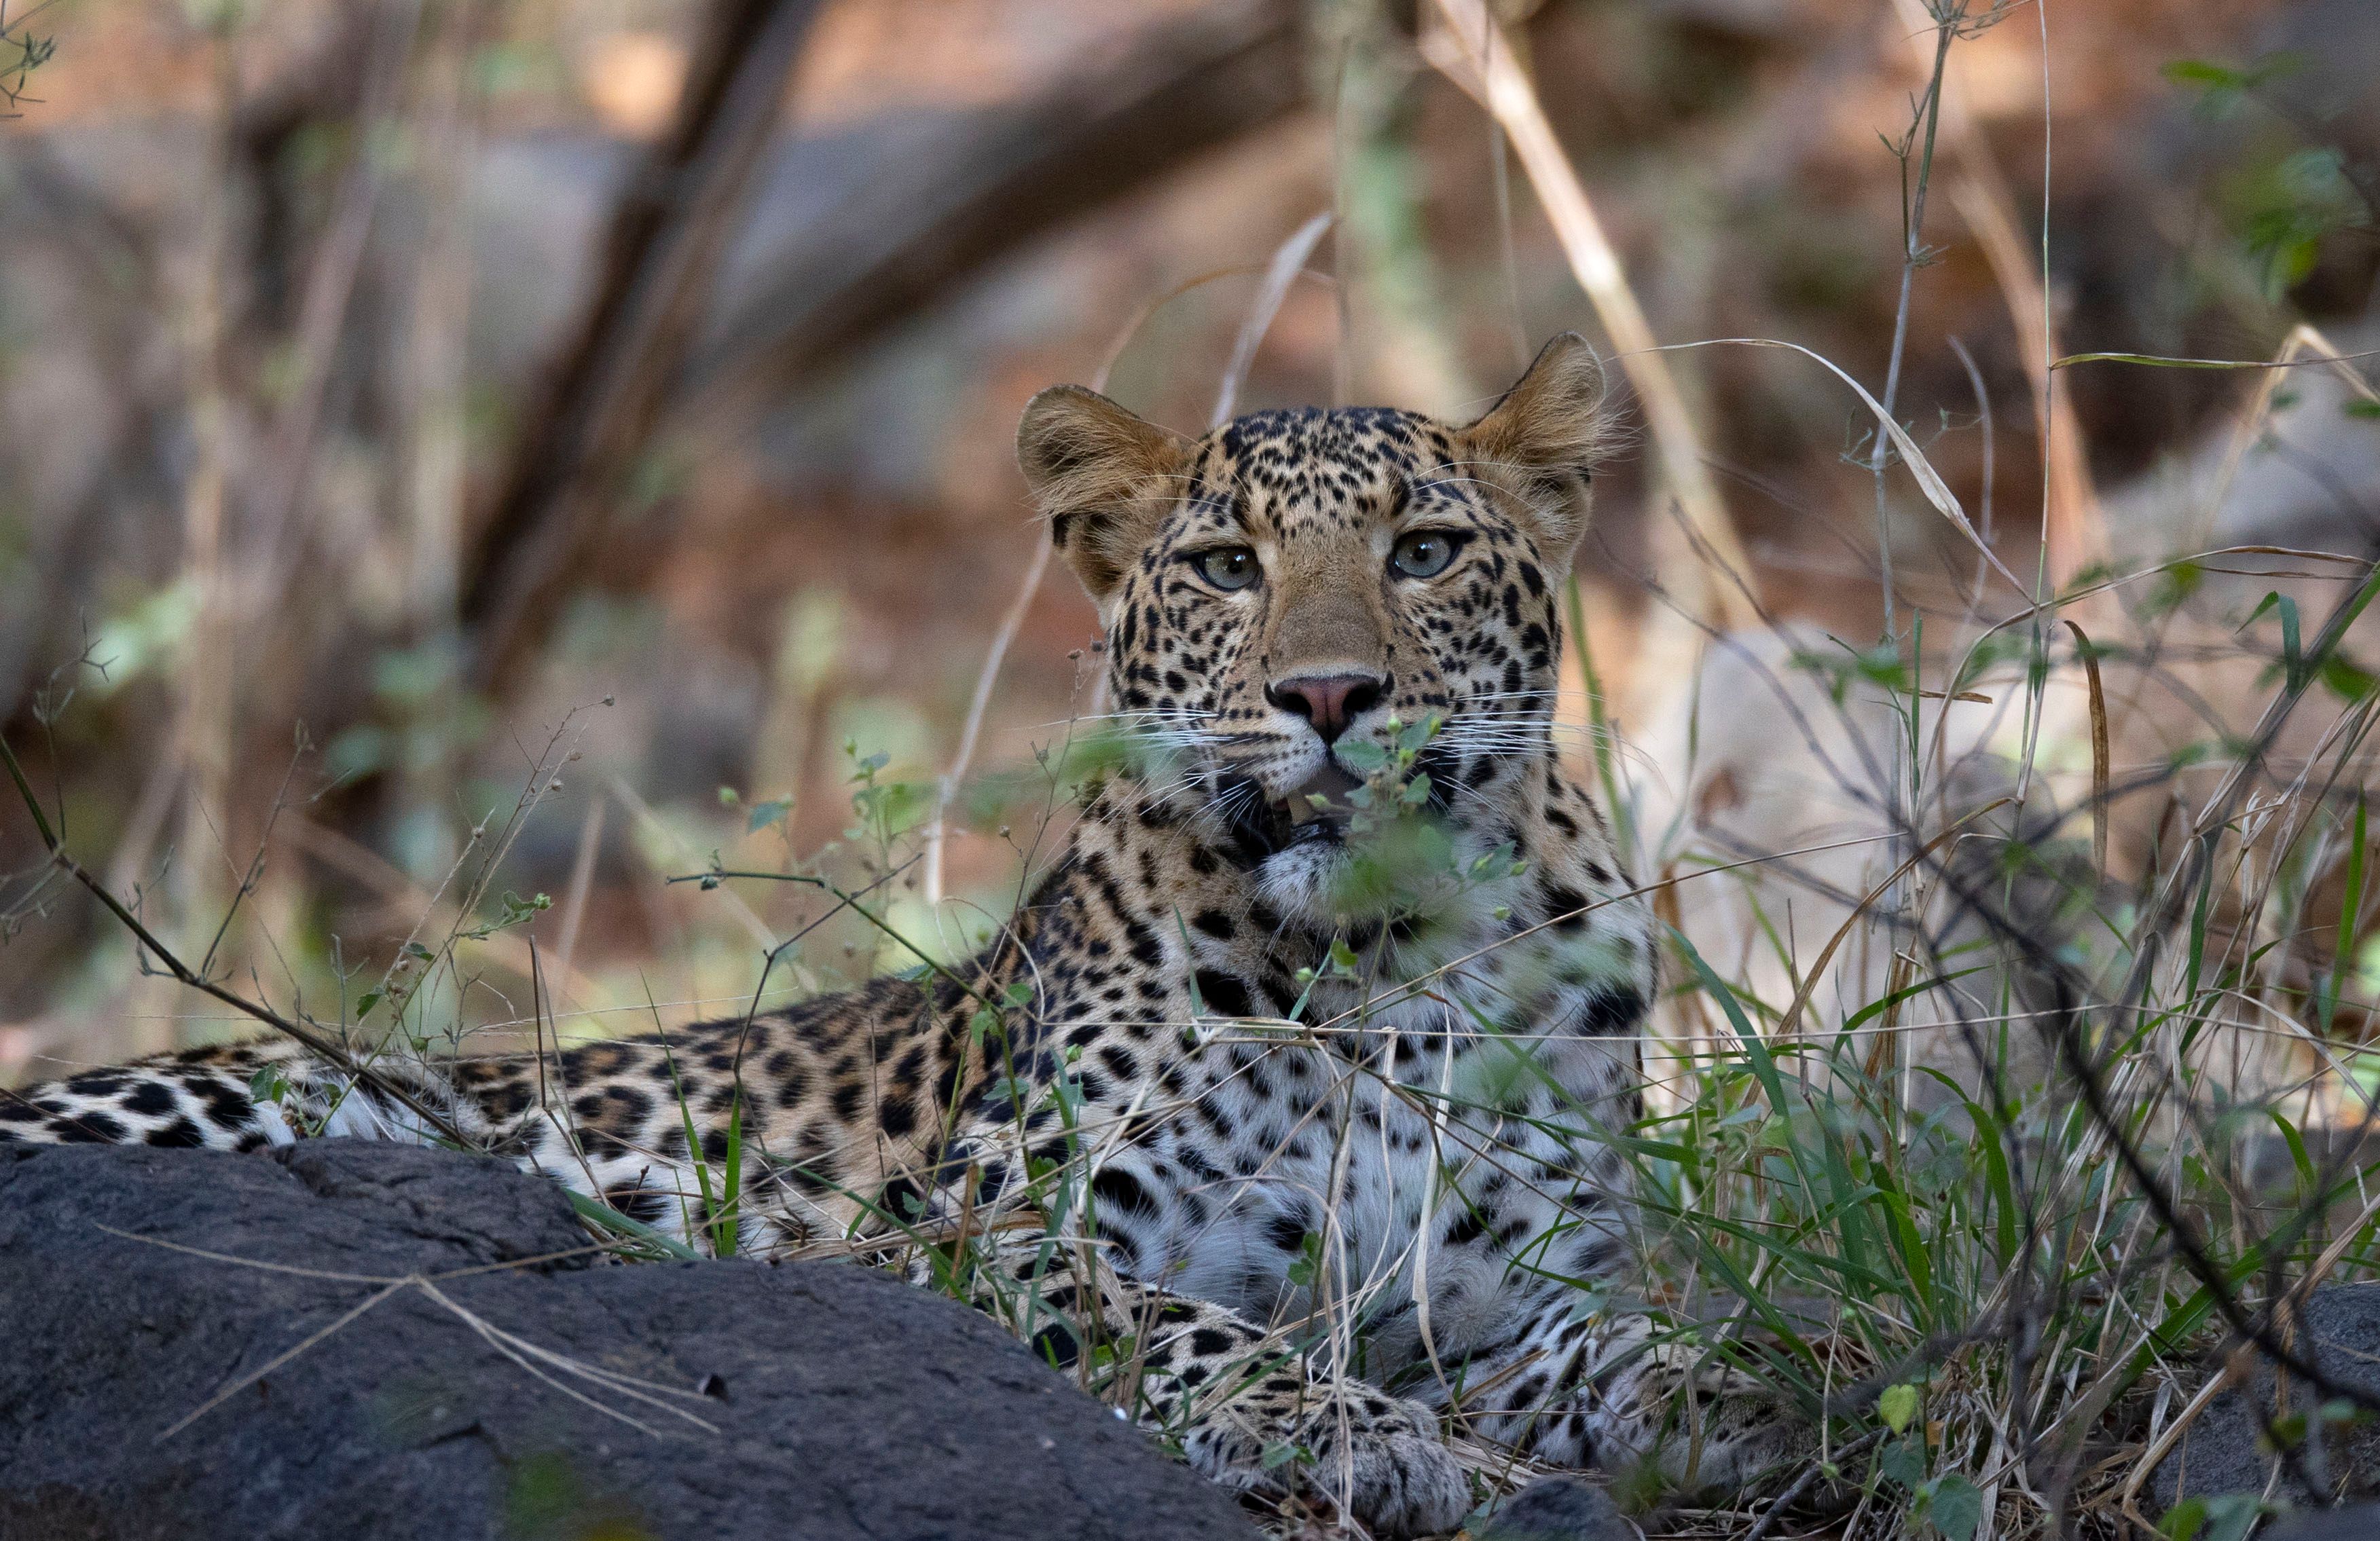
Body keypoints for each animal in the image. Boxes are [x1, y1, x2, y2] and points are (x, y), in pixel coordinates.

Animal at [2, 334, 1798, 1537]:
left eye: (1422, 552)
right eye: (1228, 568)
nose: (1330, 695)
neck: (1383, 966)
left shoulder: (1504, 1299)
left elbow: (1651, 1344)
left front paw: (1768, 1383)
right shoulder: (996, 1228)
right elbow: (1196, 1329)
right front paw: (1370, 1437)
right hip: (272, 1097)